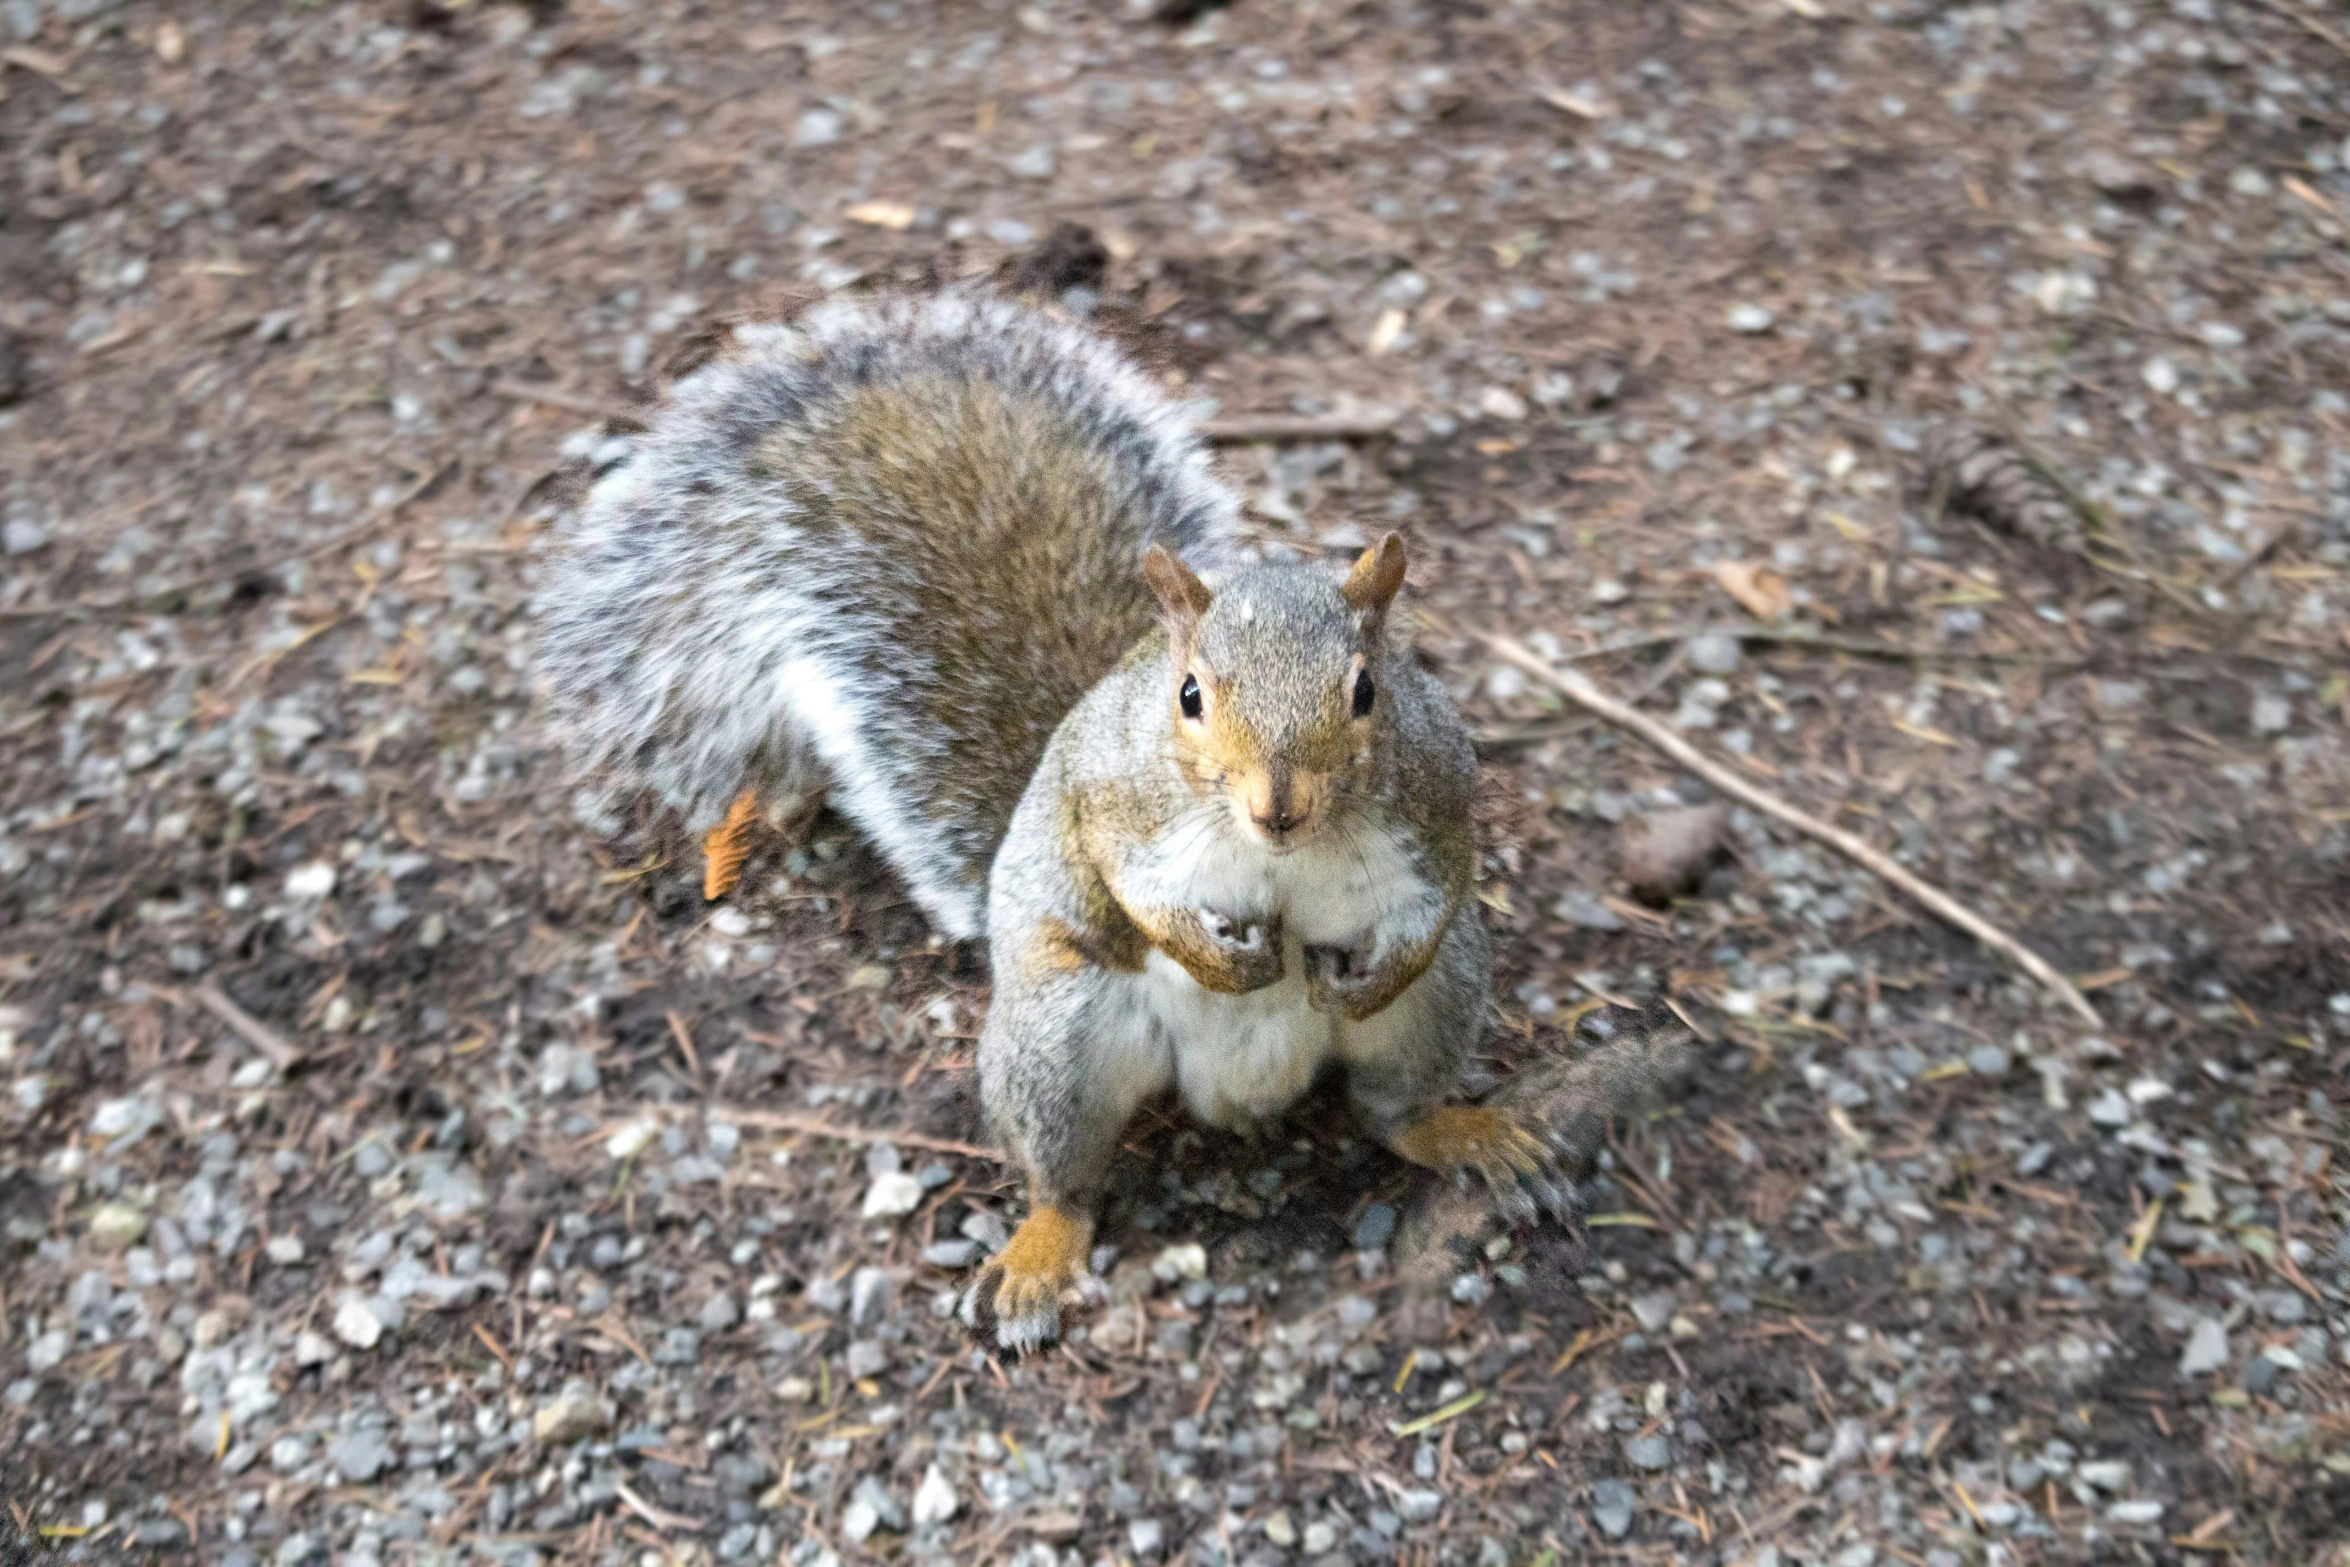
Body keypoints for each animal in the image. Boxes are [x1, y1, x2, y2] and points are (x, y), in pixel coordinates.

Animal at [531, 291, 1560, 1353]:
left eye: (1365, 691)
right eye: (1190, 695)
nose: (1277, 807)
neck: (1276, 850)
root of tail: (1240, 1092)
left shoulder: (1439, 794)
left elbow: (1446, 887)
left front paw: (1376, 971)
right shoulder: (1108, 800)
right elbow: (1128, 885)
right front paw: (1212, 954)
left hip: (1440, 1004)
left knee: (1393, 1107)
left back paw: (1467, 1131)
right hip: (1057, 1037)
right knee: (1063, 1178)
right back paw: (1037, 1256)